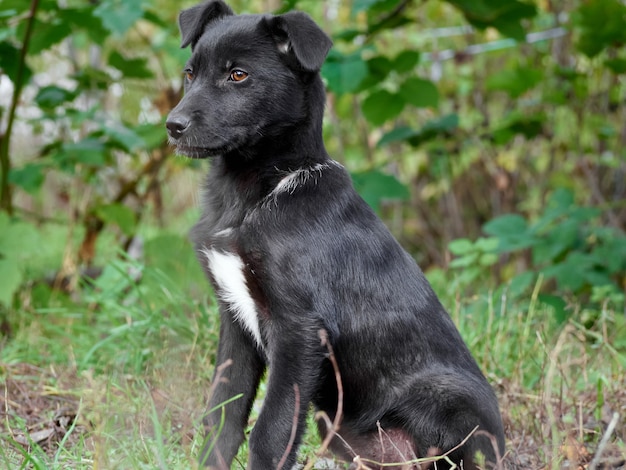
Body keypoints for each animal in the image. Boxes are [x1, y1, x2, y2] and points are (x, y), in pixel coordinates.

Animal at [165, 1, 502, 468]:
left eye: (238, 75)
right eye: (189, 73)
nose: (172, 126)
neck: (260, 190)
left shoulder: (299, 331)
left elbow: (270, 432)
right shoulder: (234, 320)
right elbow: (222, 419)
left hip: (448, 396)